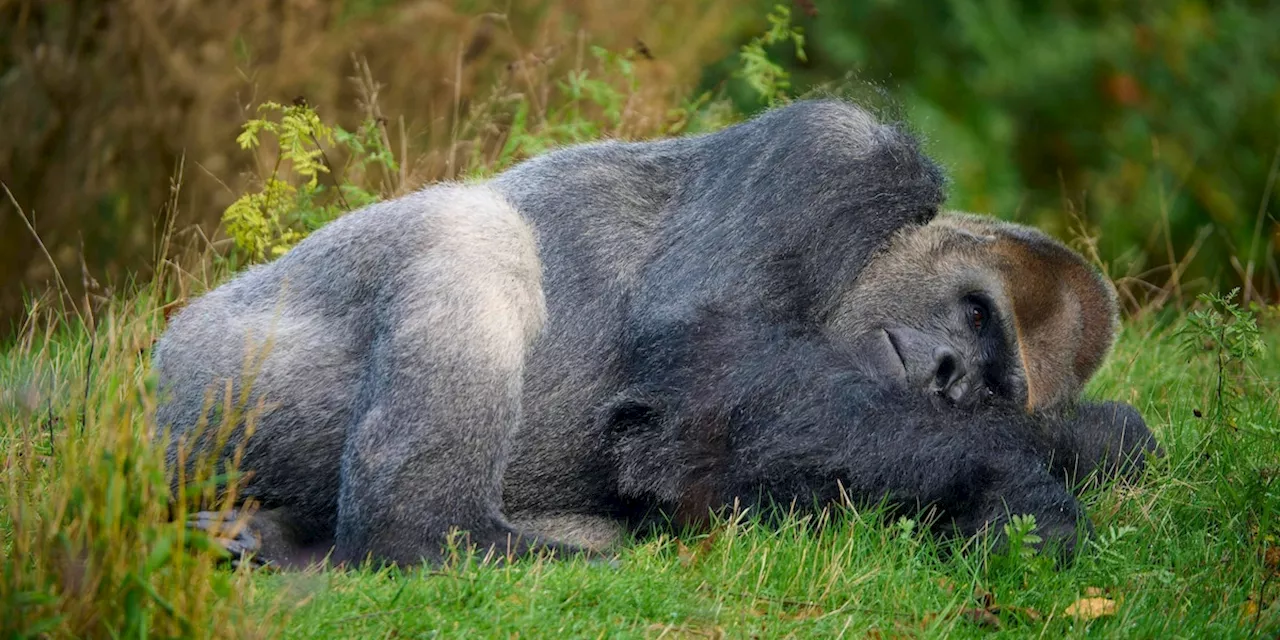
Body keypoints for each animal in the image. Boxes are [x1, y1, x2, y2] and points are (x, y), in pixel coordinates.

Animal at [152, 97, 1162, 568]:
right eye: (975, 311)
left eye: (996, 379)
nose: (951, 373)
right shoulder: (835, 152)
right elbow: (704, 389)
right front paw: (1018, 480)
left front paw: (1074, 443)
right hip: (205, 383)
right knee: (475, 233)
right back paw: (433, 538)